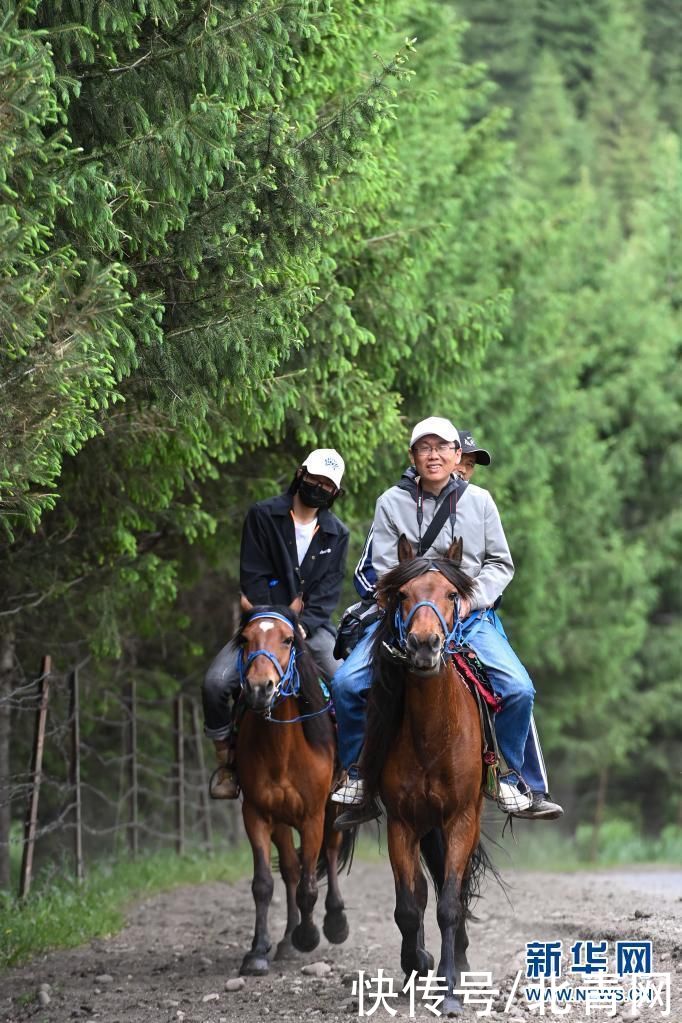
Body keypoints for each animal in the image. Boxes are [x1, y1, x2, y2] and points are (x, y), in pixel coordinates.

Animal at [236, 597, 351, 973]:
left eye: (288, 640)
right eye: (245, 639)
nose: (260, 688)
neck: (281, 749)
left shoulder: (312, 816)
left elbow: (308, 887)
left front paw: (309, 935)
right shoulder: (256, 814)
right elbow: (264, 883)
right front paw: (258, 951)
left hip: (334, 807)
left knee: (330, 852)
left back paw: (334, 921)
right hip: (281, 822)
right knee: (289, 868)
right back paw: (286, 939)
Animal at [361, 536, 490, 1014]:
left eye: (452, 595)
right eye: (402, 594)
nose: (423, 645)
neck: (433, 737)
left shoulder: (460, 820)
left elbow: (450, 903)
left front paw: (451, 989)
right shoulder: (402, 823)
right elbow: (408, 905)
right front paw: (417, 965)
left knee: (455, 888)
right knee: (420, 890)